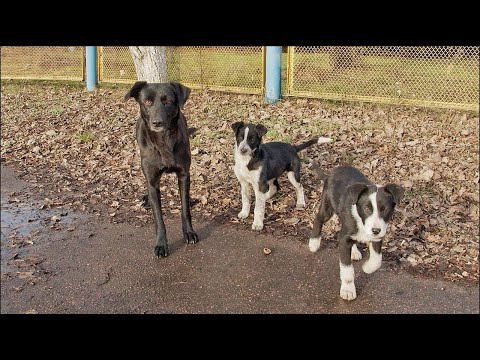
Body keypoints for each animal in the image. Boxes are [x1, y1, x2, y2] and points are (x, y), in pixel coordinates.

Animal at [125, 80, 199, 258]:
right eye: (147, 102)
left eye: (168, 102)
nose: (157, 122)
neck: (164, 140)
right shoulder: (152, 181)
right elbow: (158, 218)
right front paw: (161, 244)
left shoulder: (184, 175)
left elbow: (185, 210)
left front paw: (189, 232)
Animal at [308, 166, 404, 300]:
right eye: (366, 208)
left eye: (385, 209)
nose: (375, 230)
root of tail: (332, 172)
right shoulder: (344, 239)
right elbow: (347, 268)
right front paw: (348, 290)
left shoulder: (377, 237)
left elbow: (377, 260)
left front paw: (367, 268)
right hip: (327, 205)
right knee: (318, 219)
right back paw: (314, 243)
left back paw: (354, 251)